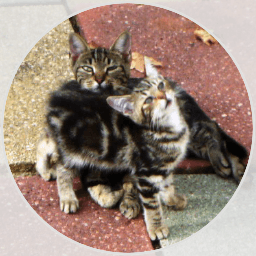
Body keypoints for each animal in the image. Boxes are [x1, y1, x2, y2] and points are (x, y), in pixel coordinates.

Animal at [44, 59, 188, 241]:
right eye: (148, 100)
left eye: (161, 85)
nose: (164, 96)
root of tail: (54, 101)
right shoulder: (146, 173)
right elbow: (152, 205)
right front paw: (156, 228)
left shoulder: (165, 167)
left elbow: (168, 185)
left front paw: (174, 200)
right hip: (73, 151)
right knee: (62, 169)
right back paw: (67, 197)